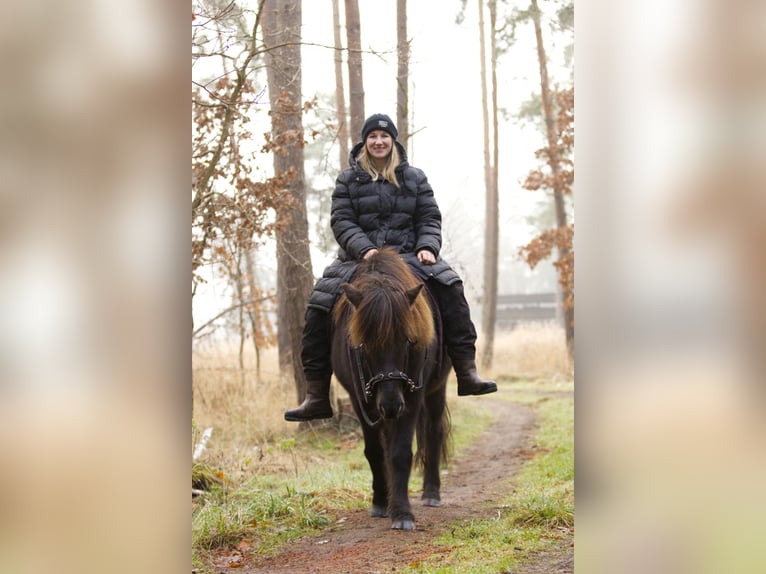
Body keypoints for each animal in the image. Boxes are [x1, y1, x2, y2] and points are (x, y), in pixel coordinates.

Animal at [332, 248, 452, 532]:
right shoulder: (360, 400)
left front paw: (402, 513)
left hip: (436, 389)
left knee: (434, 432)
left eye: (408, 341)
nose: (390, 405)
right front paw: (380, 502)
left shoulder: (412, 397)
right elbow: (375, 452)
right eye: (363, 345)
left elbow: (400, 452)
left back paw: (431, 493)